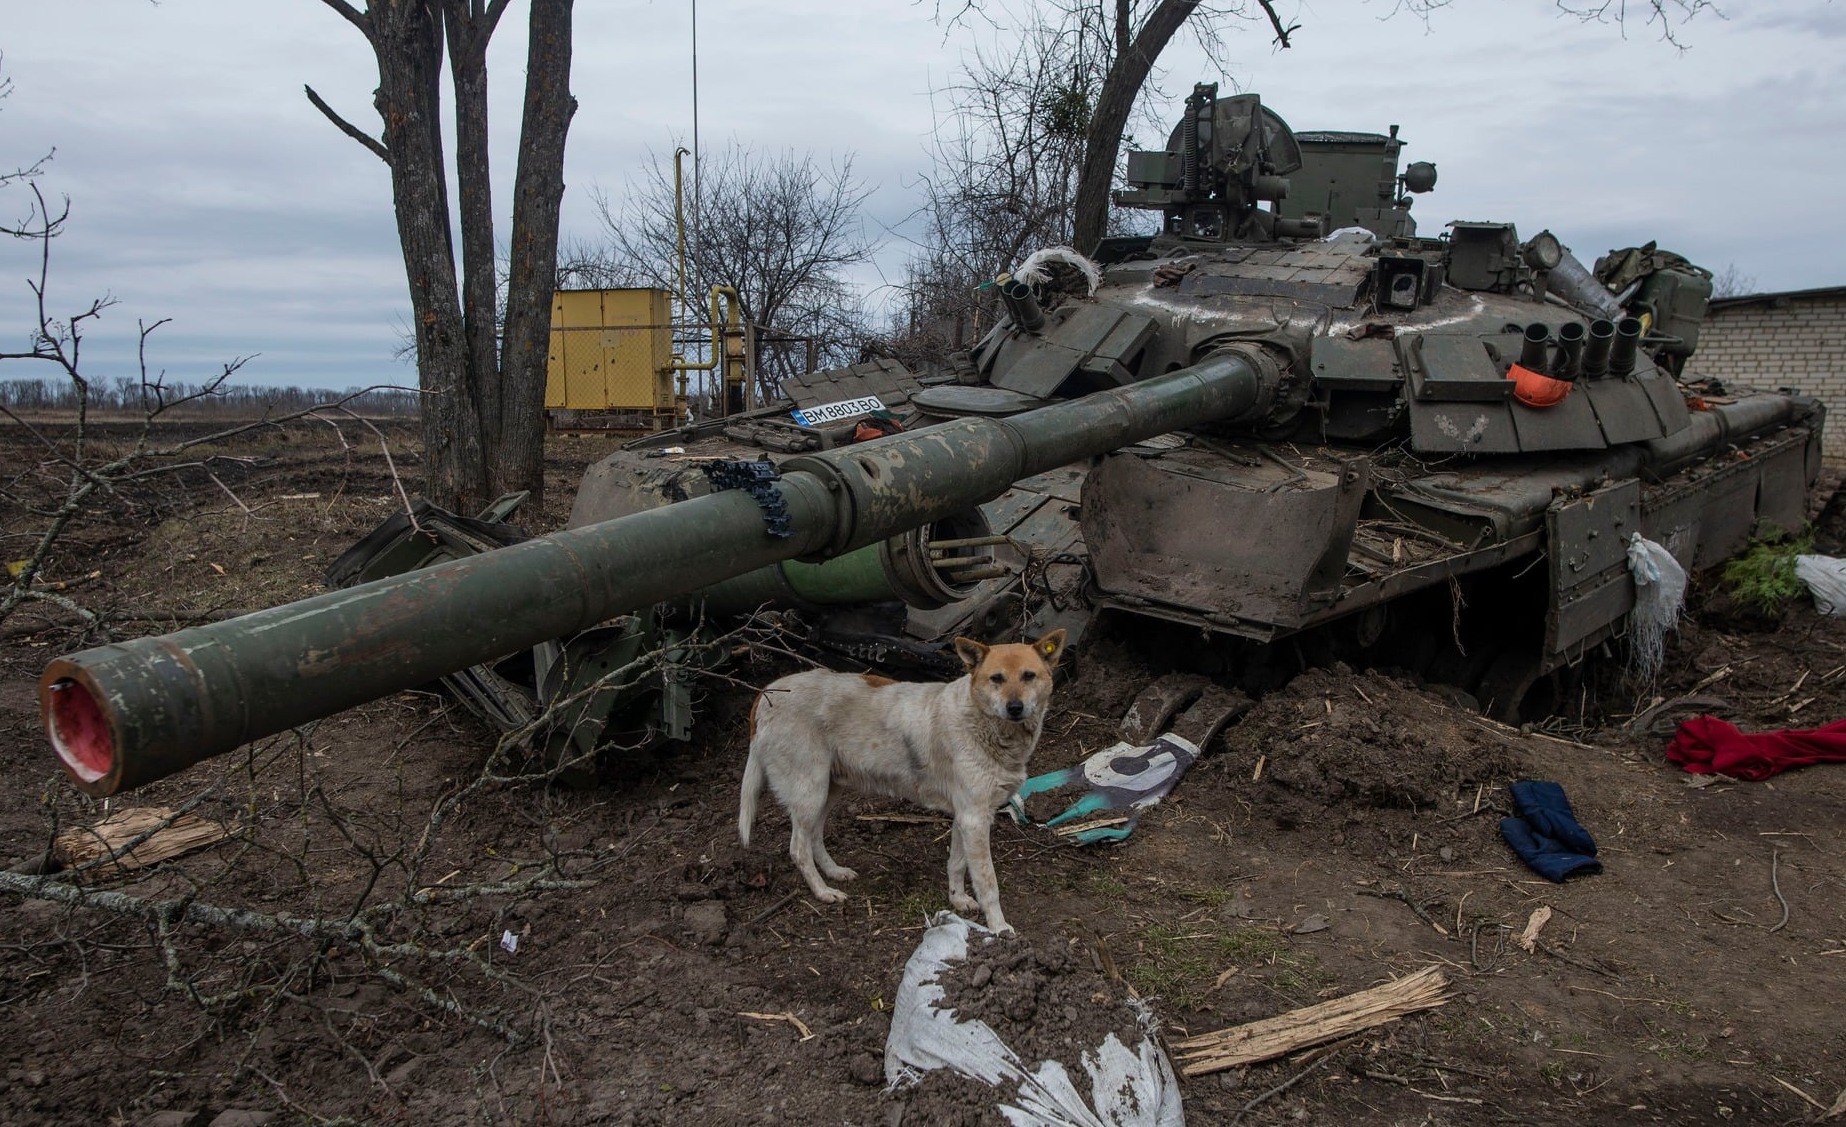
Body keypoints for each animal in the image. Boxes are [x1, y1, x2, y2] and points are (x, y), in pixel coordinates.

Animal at [734, 634, 1070, 933]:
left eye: (1029, 676)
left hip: (827, 791)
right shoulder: (974, 819)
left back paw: (835, 873)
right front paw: (999, 927)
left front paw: (958, 900)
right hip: (810, 793)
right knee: (798, 848)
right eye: (996, 679)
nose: (1015, 707)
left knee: (814, 837)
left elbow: (957, 863)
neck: (982, 723)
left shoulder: (966, 817)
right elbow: (988, 882)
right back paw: (823, 892)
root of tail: (766, 693)